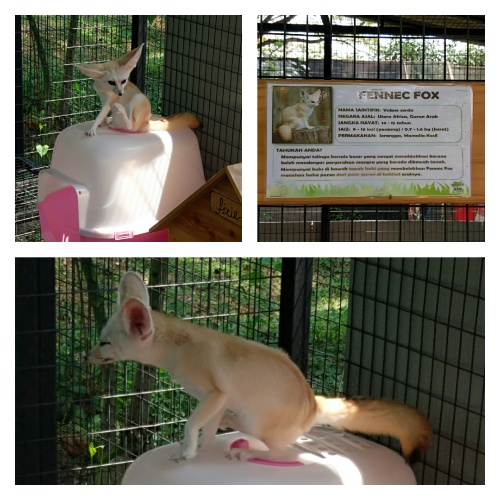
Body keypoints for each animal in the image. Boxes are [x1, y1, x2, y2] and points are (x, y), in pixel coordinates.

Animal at [85, 272, 430, 462]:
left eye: (103, 342)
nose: (85, 357)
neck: (179, 348)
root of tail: (313, 403)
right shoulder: (213, 401)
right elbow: (204, 430)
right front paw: (197, 450)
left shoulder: (216, 394)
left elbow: (191, 424)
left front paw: (187, 450)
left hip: (257, 424)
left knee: (281, 453)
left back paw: (250, 452)